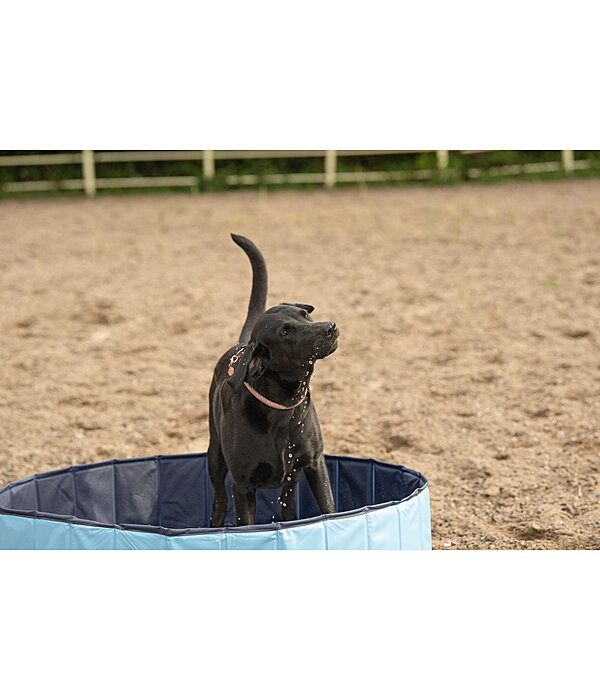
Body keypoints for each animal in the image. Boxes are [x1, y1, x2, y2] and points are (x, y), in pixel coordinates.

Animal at [207, 235, 338, 524]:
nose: (331, 327)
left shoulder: (314, 463)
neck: (283, 406)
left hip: (290, 481)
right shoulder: (243, 484)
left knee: (288, 507)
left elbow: (329, 508)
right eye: (285, 332)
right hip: (215, 456)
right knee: (219, 500)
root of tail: (243, 345)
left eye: (305, 315)